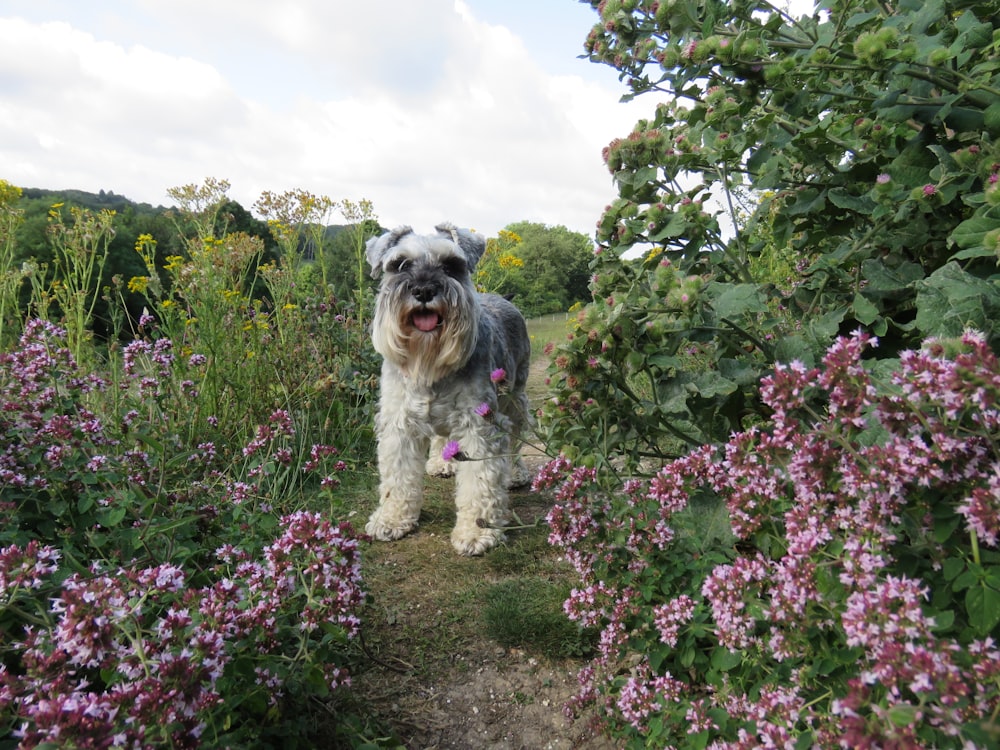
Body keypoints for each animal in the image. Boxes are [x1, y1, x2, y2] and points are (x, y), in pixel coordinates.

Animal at [366, 220, 536, 556]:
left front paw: (476, 532)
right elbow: (397, 477)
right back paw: (440, 462)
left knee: (516, 438)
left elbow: (481, 481)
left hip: (515, 398)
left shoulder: (479, 424)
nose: (423, 290)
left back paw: (516, 474)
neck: (429, 361)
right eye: (400, 264)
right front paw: (392, 519)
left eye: (450, 265)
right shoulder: (398, 423)